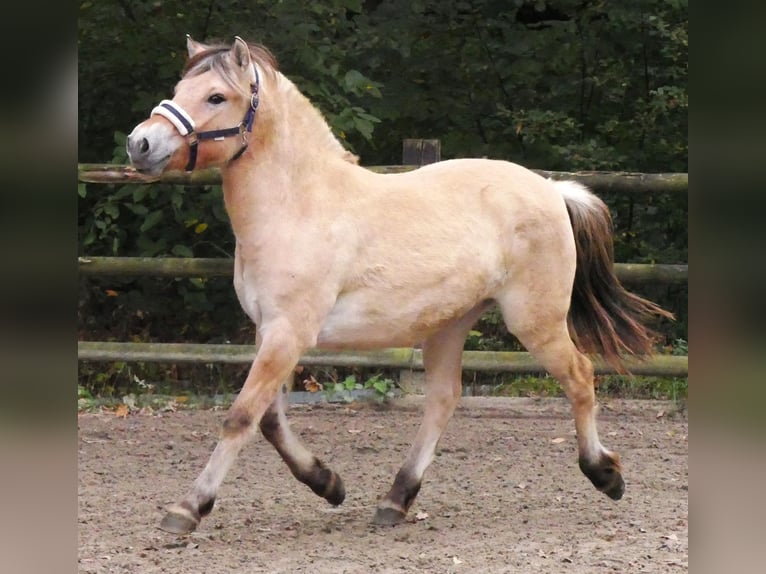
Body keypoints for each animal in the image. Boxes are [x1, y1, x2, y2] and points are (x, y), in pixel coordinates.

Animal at [126, 36, 672, 534]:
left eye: (216, 96)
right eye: (179, 88)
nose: (140, 144)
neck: (300, 205)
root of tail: (553, 189)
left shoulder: (288, 333)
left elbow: (241, 417)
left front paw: (187, 510)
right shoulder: (271, 331)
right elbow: (269, 420)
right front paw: (329, 484)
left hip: (535, 321)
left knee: (580, 376)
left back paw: (605, 475)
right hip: (451, 323)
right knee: (444, 399)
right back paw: (395, 499)